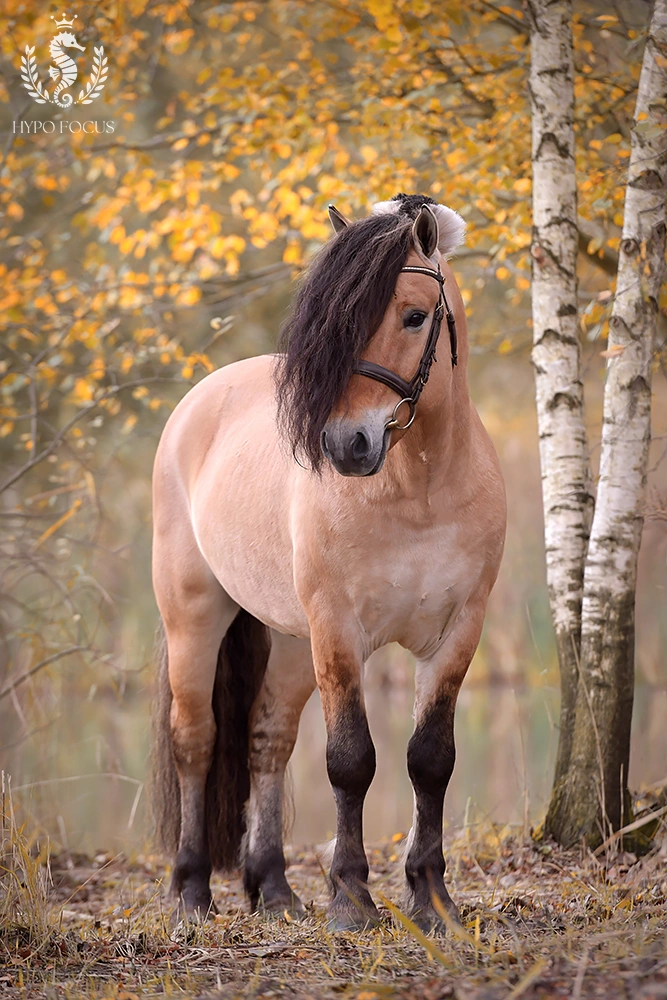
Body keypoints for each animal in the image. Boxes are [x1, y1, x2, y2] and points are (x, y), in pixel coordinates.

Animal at [151, 193, 506, 928]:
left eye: (414, 315)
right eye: (332, 326)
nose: (347, 445)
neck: (420, 487)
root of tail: (198, 403)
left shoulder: (459, 631)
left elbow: (430, 758)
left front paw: (431, 896)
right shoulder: (338, 632)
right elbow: (350, 761)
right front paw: (349, 896)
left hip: (290, 642)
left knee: (268, 737)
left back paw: (276, 890)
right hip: (195, 618)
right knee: (195, 739)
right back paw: (192, 891)